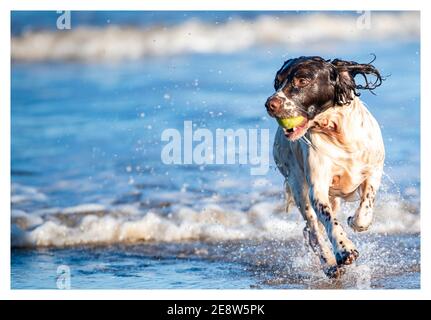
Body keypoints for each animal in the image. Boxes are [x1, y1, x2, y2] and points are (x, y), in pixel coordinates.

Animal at [266, 55, 384, 278]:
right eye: (277, 82)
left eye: (302, 80)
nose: (270, 104)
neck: (339, 135)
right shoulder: (317, 188)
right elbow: (330, 221)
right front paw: (344, 249)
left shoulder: (374, 169)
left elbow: (365, 209)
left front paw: (354, 221)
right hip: (297, 185)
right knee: (312, 229)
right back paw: (329, 263)